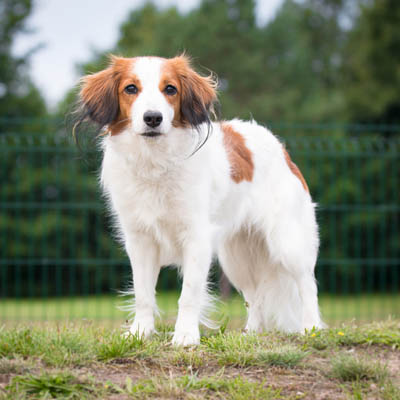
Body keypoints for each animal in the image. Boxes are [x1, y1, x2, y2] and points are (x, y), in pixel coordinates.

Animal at [76, 54, 322, 346]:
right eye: (130, 88)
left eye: (170, 89)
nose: (153, 118)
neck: (156, 161)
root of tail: (282, 149)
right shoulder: (140, 240)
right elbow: (143, 293)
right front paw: (140, 332)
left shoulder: (197, 238)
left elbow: (189, 294)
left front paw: (185, 335)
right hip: (237, 257)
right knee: (255, 295)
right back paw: (252, 332)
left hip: (287, 243)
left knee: (307, 284)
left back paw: (312, 328)